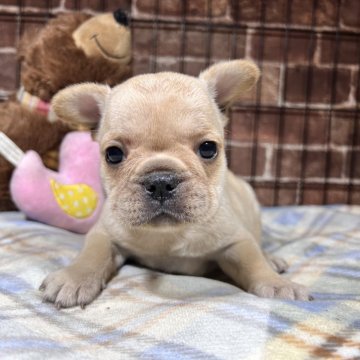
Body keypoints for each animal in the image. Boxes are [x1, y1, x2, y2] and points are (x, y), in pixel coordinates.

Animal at [38, 60, 310, 308]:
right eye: (113, 154)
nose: (160, 181)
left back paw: (271, 259)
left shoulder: (236, 240)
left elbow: (252, 261)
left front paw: (277, 284)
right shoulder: (104, 233)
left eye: (208, 148)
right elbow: (92, 252)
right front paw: (74, 277)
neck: (168, 235)